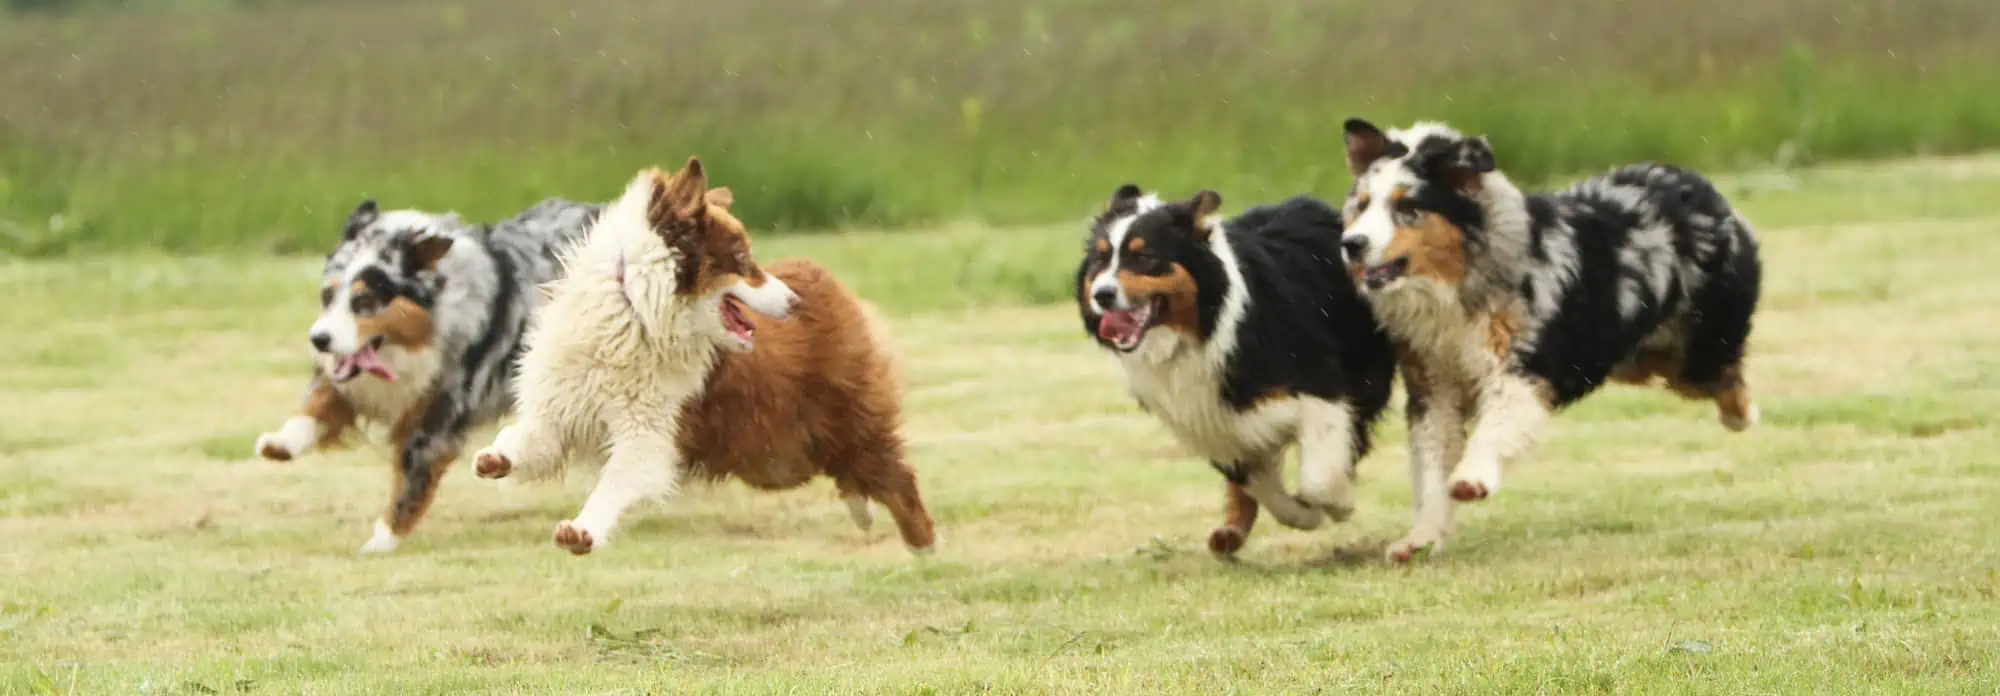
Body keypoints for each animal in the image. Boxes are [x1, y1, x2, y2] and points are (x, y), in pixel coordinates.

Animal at [250, 197, 596, 556]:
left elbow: (411, 483)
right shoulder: (352, 382)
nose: (318, 339)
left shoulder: (436, 417)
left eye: (364, 300)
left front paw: (382, 540)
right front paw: (281, 443)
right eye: (328, 296)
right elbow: (317, 403)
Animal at [1080, 185, 1392, 556]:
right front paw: (1302, 514)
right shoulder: (1212, 423)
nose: (1102, 295)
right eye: (1100, 260)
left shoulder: (1321, 386)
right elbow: (1257, 485)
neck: (1205, 329)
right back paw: (1230, 533)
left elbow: (1319, 478)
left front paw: (1335, 504)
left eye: (1144, 256)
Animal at [1336, 118, 1760, 564]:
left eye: (1407, 207)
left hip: (1699, 354)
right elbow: (1431, 468)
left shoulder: (1522, 369)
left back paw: (1742, 416)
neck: (1462, 284)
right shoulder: (1434, 390)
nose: (1352, 245)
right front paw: (1420, 538)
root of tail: (1697, 185)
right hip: (1640, 361)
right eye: (1362, 205)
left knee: (1728, 379)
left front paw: (1472, 478)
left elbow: (1496, 425)